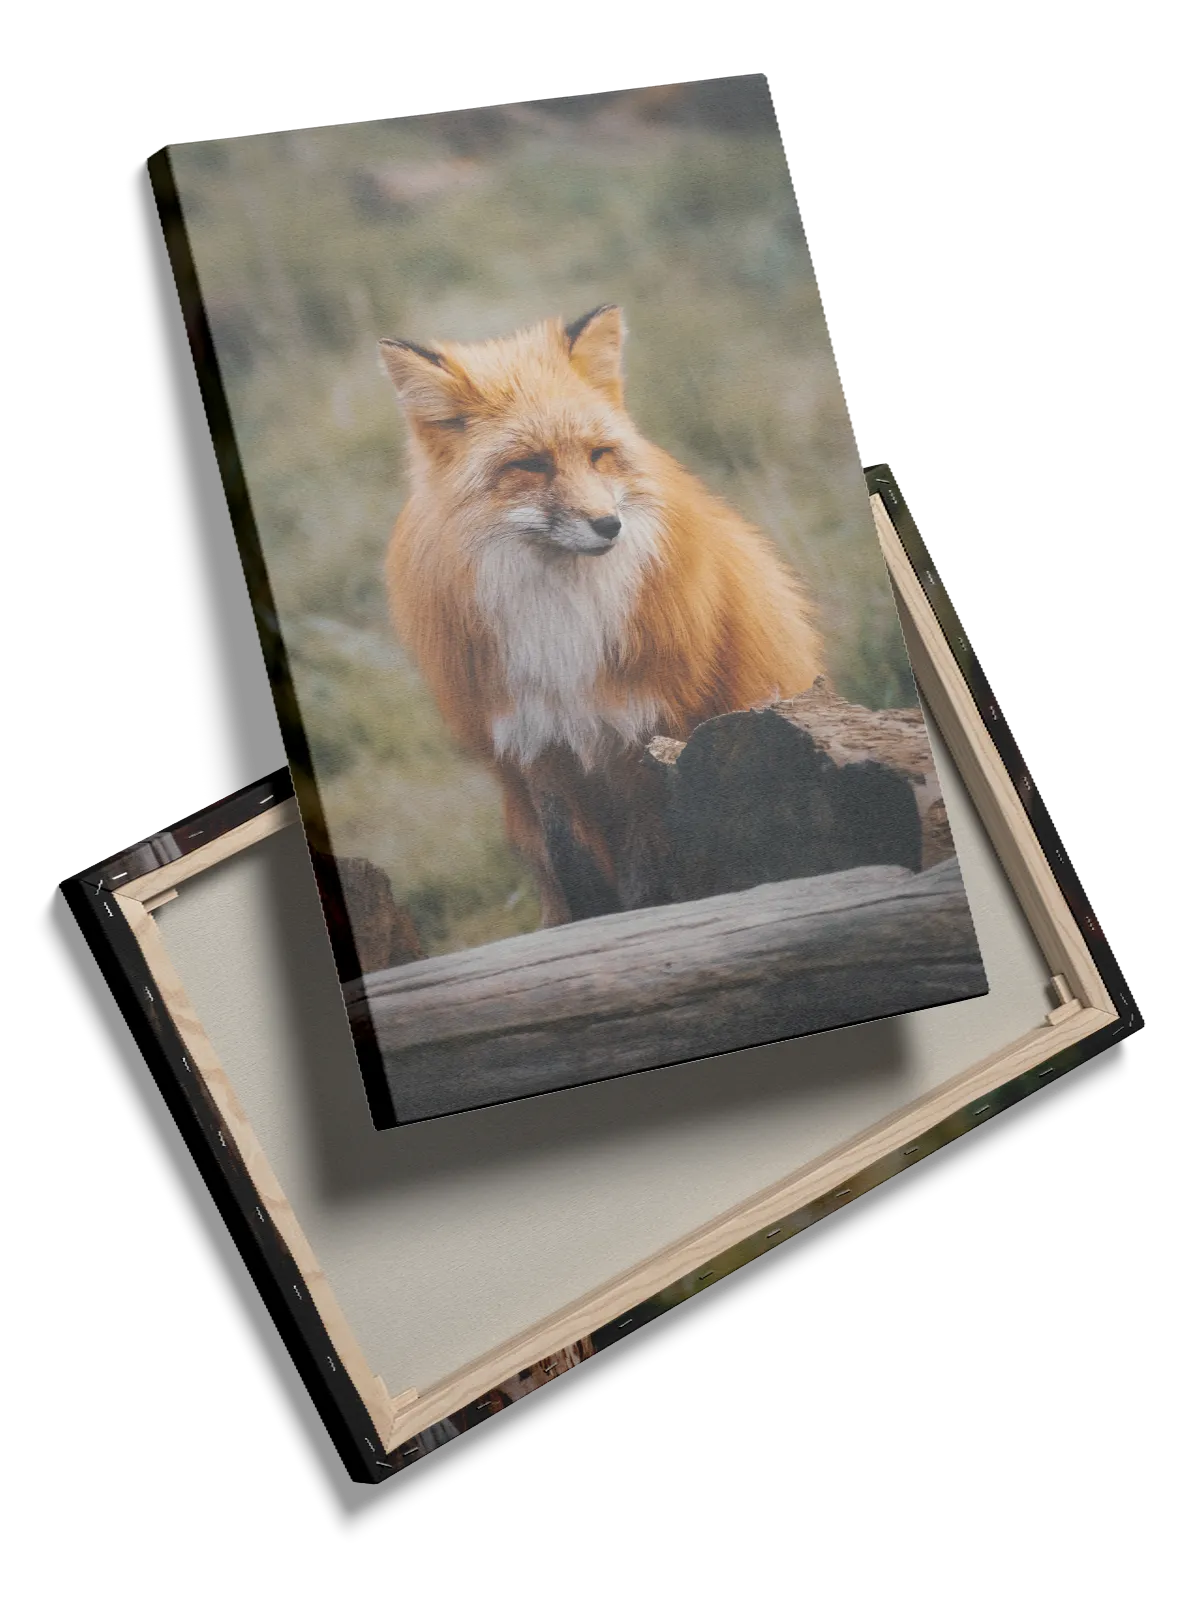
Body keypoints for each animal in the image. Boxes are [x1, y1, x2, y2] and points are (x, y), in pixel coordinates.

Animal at [380, 305, 822, 925]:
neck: (561, 621)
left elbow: (646, 866)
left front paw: (649, 918)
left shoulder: (642, 726)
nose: (610, 525)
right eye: (531, 465)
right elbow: (574, 861)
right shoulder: (533, 737)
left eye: (598, 455)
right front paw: (595, 924)